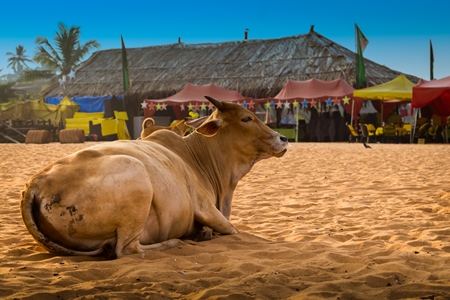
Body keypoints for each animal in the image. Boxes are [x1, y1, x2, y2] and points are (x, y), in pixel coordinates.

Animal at [20, 95, 288, 258]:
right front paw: (203, 234)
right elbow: (232, 231)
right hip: (136, 175)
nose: (283, 138)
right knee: (127, 249)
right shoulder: (206, 208)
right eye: (246, 118)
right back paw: (175, 242)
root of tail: (36, 184)